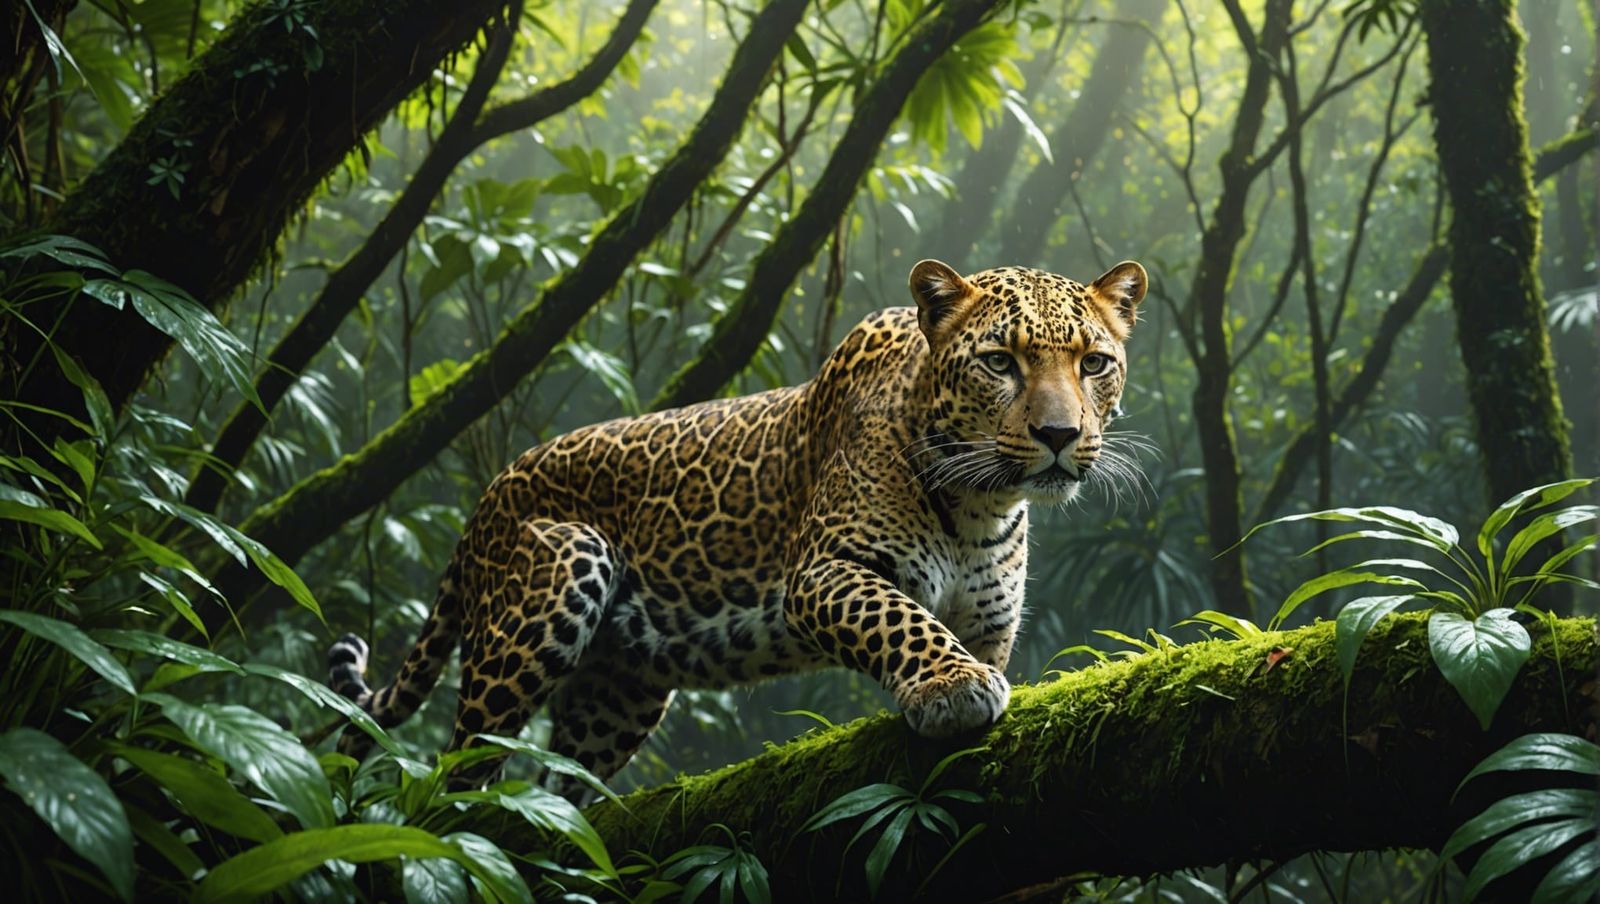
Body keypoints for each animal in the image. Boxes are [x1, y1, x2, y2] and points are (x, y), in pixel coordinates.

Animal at [327, 258, 1147, 796]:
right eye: (1000, 362)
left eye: (1094, 363)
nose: (1059, 435)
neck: (982, 505)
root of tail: (490, 494)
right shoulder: (821, 571)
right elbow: (898, 617)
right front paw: (951, 685)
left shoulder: (989, 619)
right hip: (551, 584)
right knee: (455, 769)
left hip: (617, 692)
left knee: (561, 783)